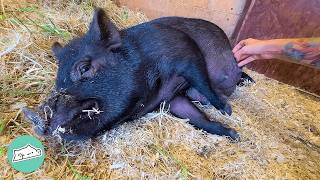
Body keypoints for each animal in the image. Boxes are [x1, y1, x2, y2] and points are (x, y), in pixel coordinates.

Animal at [23, 8, 251, 141]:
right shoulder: (172, 100)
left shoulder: (184, 51)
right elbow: (197, 118)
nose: (34, 114)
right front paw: (234, 135)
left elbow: (203, 80)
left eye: (84, 68)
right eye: (57, 80)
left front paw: (227, 110)